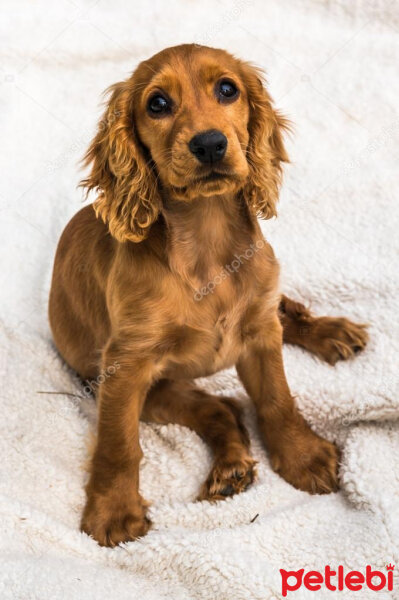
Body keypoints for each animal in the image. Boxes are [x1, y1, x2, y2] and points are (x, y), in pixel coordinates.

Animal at [49, 44, 368, 548]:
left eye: (227, 89)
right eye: (157, 103)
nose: (210, 144)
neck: (207, 237)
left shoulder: (260, 334)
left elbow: (277, 399)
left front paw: (304, 456)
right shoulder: (126, 365)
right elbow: (118, 443)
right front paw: (113, 510)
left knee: (286, 314)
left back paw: (331, 332)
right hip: (159, 392)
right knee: (222, 408)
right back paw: (230, 470)